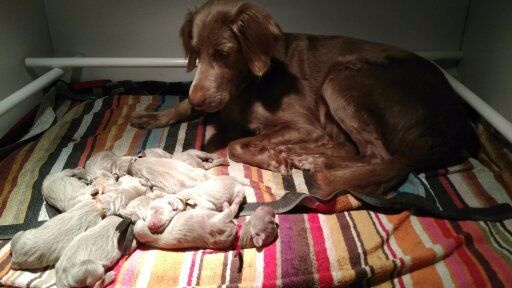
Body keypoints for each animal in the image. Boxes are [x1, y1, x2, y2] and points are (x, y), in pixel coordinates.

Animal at [131, 0, 476, 197]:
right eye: (195, 52)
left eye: (224, 54)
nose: (200, 101)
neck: (249, 83)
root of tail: (458, 125)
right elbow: (183, 106)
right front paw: (153, 116)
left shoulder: (305, 124)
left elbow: (236, 144)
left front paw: (270, 158)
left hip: (341, 78)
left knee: (376, 154)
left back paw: (309, 158)